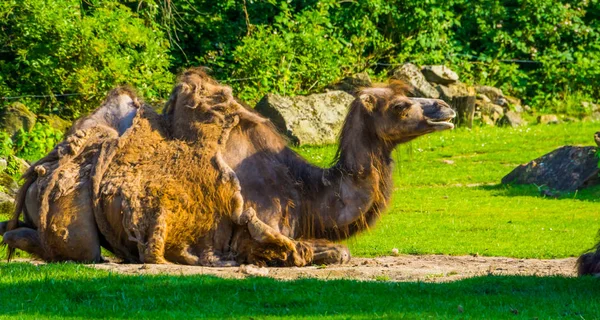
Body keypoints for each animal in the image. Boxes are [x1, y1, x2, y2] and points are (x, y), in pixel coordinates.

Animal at [1, 69, 454, 266]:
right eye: (401, 106)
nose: (446, 110)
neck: (304, 190)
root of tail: (38, 172)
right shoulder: (255, 233)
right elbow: (322, 252)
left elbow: (338, 251)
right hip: (71, 213)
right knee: (75, 251)